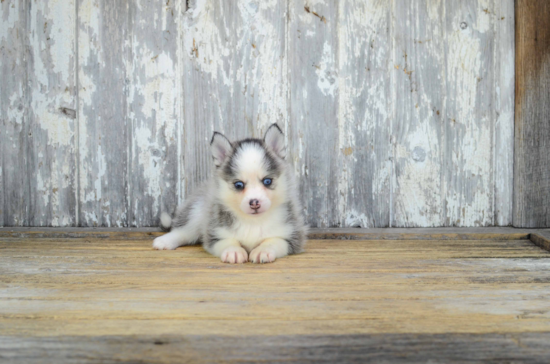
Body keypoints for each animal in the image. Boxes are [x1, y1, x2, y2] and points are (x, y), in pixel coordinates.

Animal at [153, 123, 308, 264]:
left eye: (267, 181)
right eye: (239, 185)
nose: (254, 203)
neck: (252, 222)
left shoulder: (292, 236)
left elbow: (274, 241)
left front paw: (263, 250)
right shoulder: (214, 233)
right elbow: (227, 241)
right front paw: (233, 251)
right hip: (197, 210)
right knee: (183, 230)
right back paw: (165, 241)